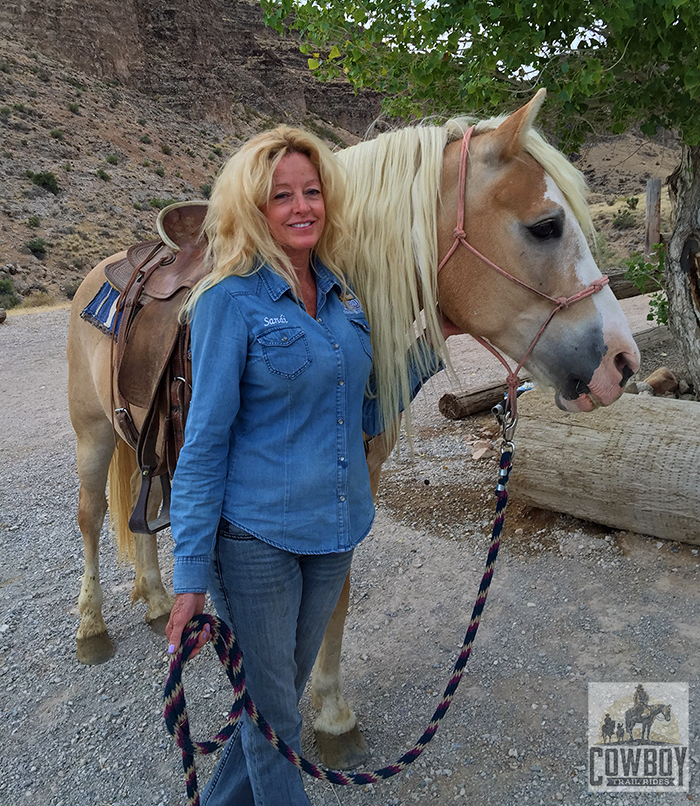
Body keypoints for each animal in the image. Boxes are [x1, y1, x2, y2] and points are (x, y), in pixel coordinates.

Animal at [67, 90, 640, 772]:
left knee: (142, 515)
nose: (622, 363)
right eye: (546, 226)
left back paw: (157, 601)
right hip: (92, 434)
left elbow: (332, 601)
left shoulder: (351, 488)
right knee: (92, 517)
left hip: (141, 441)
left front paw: (332, 711)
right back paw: (91, 625)